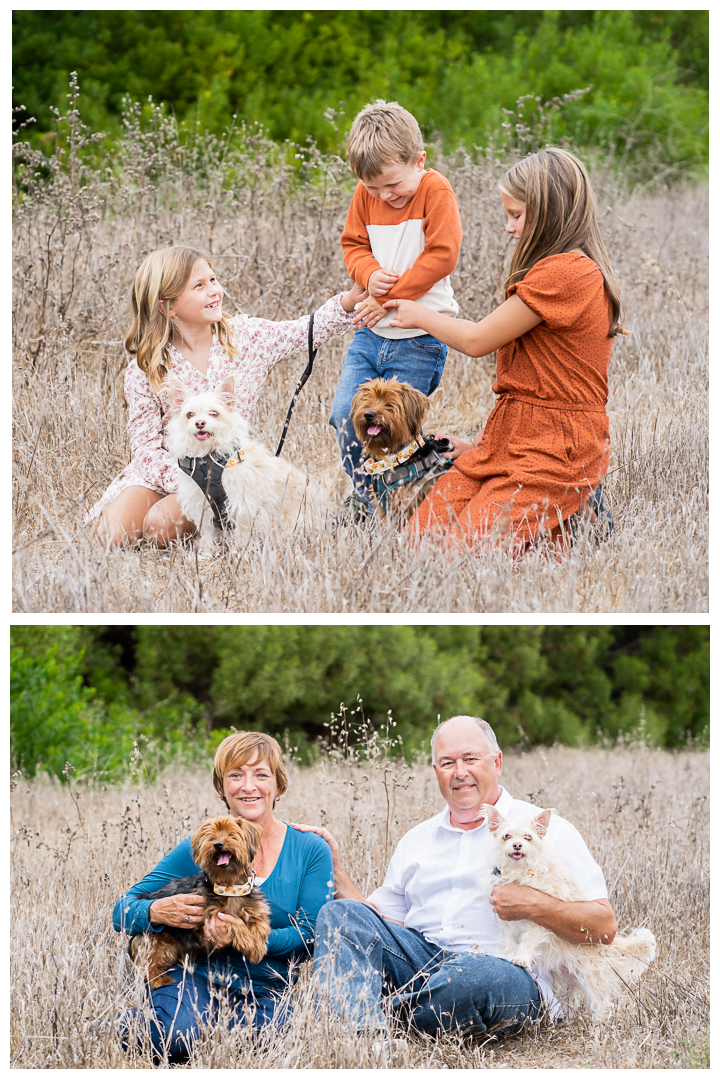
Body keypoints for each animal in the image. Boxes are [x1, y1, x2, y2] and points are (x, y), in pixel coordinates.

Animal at [129, 816, 273, 989]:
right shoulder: (210, 918)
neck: (230, 887)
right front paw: (250, 944)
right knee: (147, 965)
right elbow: (234, 923)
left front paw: (258, 946)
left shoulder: (255, 907)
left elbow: (261, 923)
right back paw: (158, 981)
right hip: (155, 942)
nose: (218, 844)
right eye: (211, 837)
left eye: (232, 834)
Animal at [483, 803, 660, 1019]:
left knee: (601, 1006)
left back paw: (599, 1025)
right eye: (507, 836)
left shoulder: (536, 915)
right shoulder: (507, 922)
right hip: (565, 982)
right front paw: (508, 956)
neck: (518, 871)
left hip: (592, 979)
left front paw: (522, 959)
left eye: (528, 837)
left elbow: (528, 941)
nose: (517, 845)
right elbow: (509, 941)